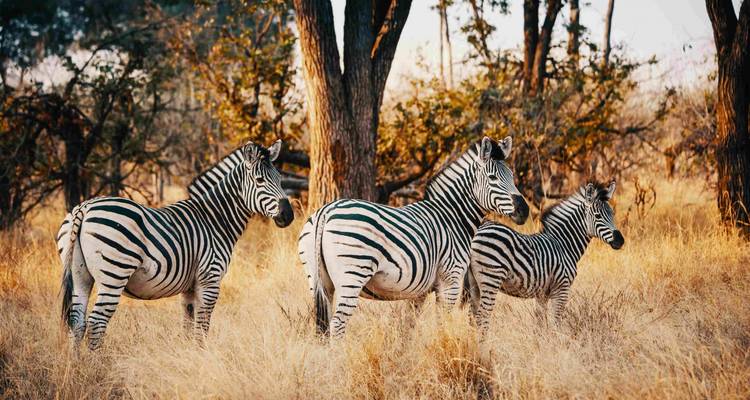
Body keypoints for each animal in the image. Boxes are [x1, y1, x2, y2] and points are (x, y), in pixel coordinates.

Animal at [57, 140, 294, 350]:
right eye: (260, 180)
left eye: (280, 178)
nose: (288, 215)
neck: (215, 219)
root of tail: (84, 208)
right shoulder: (210, 279)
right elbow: (202, 327)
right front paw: (201, 357)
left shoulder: (189, 287)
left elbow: (188, 326)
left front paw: (188, 356)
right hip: (114, 273)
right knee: (96, 323)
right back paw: (95, 365)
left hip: (80, 275)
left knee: (78, 322)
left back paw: (77, 367)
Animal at [298, 136, 530, 338]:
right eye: (493, 178)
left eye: (512, 176)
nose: (524, 211)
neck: (452, 215)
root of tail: (325, 212)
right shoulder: (451, 279)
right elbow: (442, 322)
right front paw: (442, 347)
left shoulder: (420, 290)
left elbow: (408, 326)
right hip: (352, 274)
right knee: (338, 323)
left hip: (318, 280)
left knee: (324, 323)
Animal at [466, 180, 624, 338]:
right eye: (598, 216)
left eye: (612, 214)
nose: (620, 241)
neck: (563, 244)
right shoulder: (561, 288)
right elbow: (556, 322)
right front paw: (557, 341)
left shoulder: (542, 293)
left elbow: (540, 322)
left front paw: (540, 341)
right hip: (491, 278)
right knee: (482, 316)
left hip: (474, 282)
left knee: (472, 316)